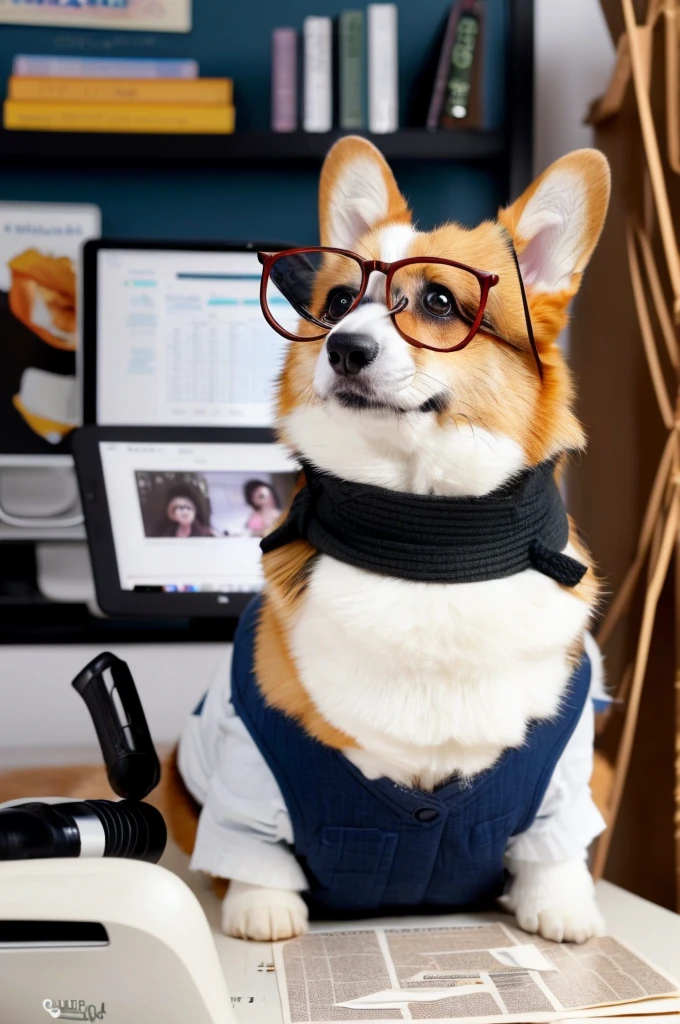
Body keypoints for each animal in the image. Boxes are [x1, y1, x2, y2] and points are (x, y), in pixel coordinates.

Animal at [175, 136, 610, 942]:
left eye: (439, 301)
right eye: (337, 304)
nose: (345, 349)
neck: (429, 544)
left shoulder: (566, 771)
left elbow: (558, 842)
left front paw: (562, 905)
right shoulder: (249, 757)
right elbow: (249, 843)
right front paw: (262, 908)